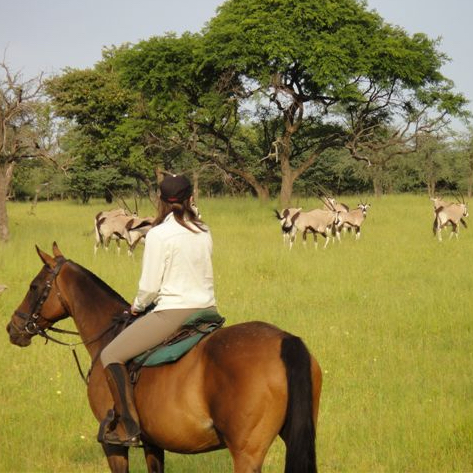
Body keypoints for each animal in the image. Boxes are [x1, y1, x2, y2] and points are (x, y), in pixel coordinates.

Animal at [6, 243, 320, 472]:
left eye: (34, 287)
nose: (13, 328)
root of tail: (285, 339)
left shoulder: (114, 445)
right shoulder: (153, 443)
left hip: (246, 454)